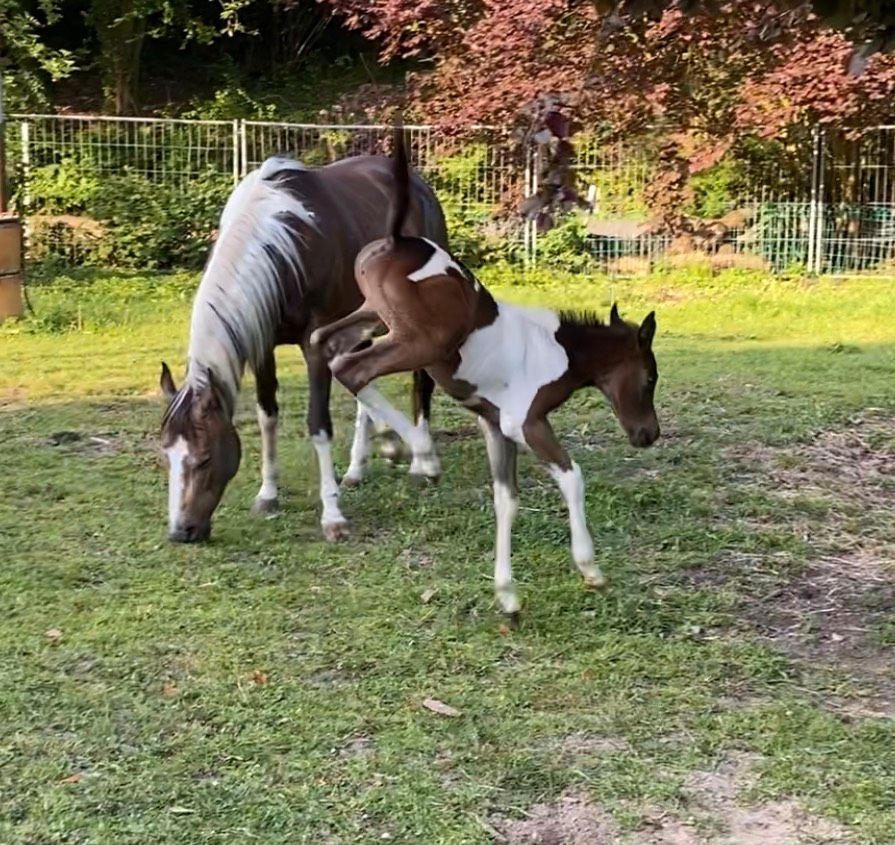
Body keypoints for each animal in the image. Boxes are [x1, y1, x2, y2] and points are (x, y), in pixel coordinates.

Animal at [159, 155, 446, 544]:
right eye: (166, 455)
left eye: (204, 458)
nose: (181, 532)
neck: (287, 244)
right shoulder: (263, 344)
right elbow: (267, 416)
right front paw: (268, 495)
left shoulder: (315, 345)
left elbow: (318, 424)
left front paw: (333, 517)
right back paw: (360, 465)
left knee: (420, 381)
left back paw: (420, 461)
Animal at [312, 132, 660, 620]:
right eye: (649, 379)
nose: (649, 434)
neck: (557, 351)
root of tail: (399, 238)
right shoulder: (527, 423)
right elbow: (572, 477)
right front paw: (590, 569)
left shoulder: (496, 427)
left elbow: (505, 499)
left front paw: (507, 594)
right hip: (420, 342)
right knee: (351, 368)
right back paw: (417, 451)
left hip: (372, 315)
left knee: (325, 344)